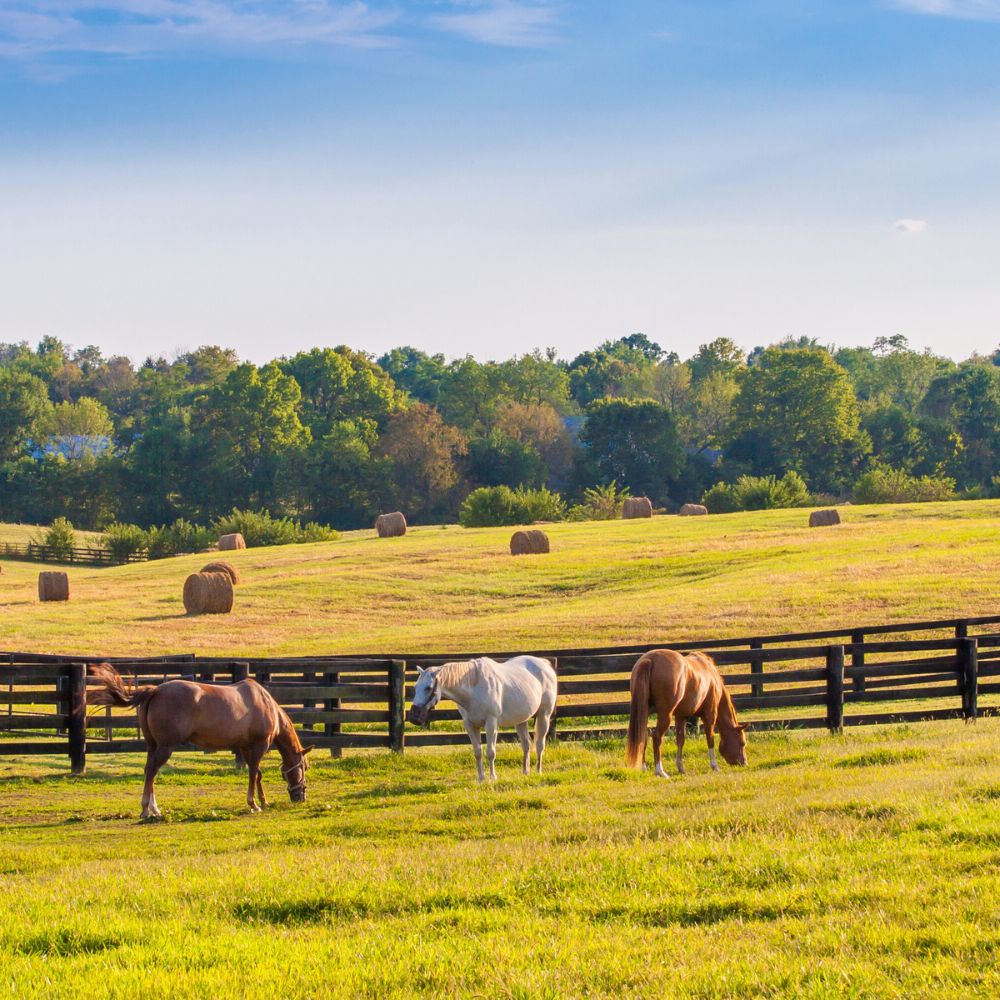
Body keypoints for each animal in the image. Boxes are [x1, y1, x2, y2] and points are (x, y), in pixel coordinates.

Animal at [89, 664, 312, 820]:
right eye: (304, 767)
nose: (300, 797)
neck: (266, 705)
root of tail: (155, 691)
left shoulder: (244, 747)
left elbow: (256, 774)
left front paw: (263, 802)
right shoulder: (258, 746)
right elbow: (253, 774)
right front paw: (254, 804)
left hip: (152, 745)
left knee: (148, 771)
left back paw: (155, 809)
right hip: (165, 747)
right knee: (152, 771)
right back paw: (146, 809)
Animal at [408, 652, 564, 784]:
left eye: (428, 687)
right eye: (415, 687)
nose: (414, 717)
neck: (474, 688)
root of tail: (544, 664)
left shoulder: (491, 724)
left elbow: (490, 752)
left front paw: (493, 777)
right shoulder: (470, 725)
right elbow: (478, 752)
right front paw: (481, 778)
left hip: (544, 715)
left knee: (539, 744)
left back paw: (538, 771)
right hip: (521, 721)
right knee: (526, 744)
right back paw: (525, 772)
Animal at [620, 648, 748, 780]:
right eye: (742, 743)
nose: (744, 763)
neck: (712, 675)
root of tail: (649, 659)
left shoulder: (680, 716)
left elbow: (680, 741)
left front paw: (681, 768)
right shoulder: (710, 715)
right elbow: (710, 739)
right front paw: (715, 766)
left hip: (645, 712)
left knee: (643, 737)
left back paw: (644, 768)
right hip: (665, 715)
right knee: (656, 737)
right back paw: (660, 771)